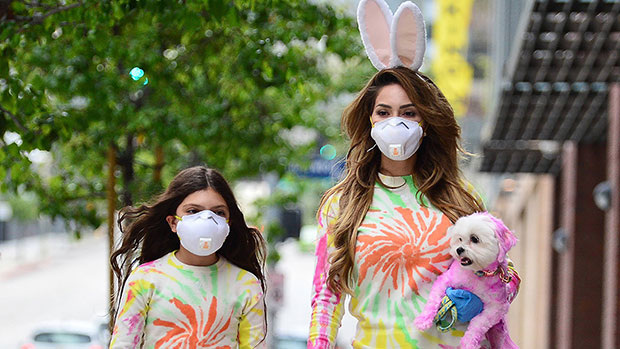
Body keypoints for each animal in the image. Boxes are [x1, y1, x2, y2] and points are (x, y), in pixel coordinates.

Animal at [416, 211, 520, 348]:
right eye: (460, 238)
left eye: (474, 239)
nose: (459, 249)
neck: (478, 273)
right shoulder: (445, 280)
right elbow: (433, 301)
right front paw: (423, 319)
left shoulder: (497, 307)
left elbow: (479, 323)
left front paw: (469, 342)